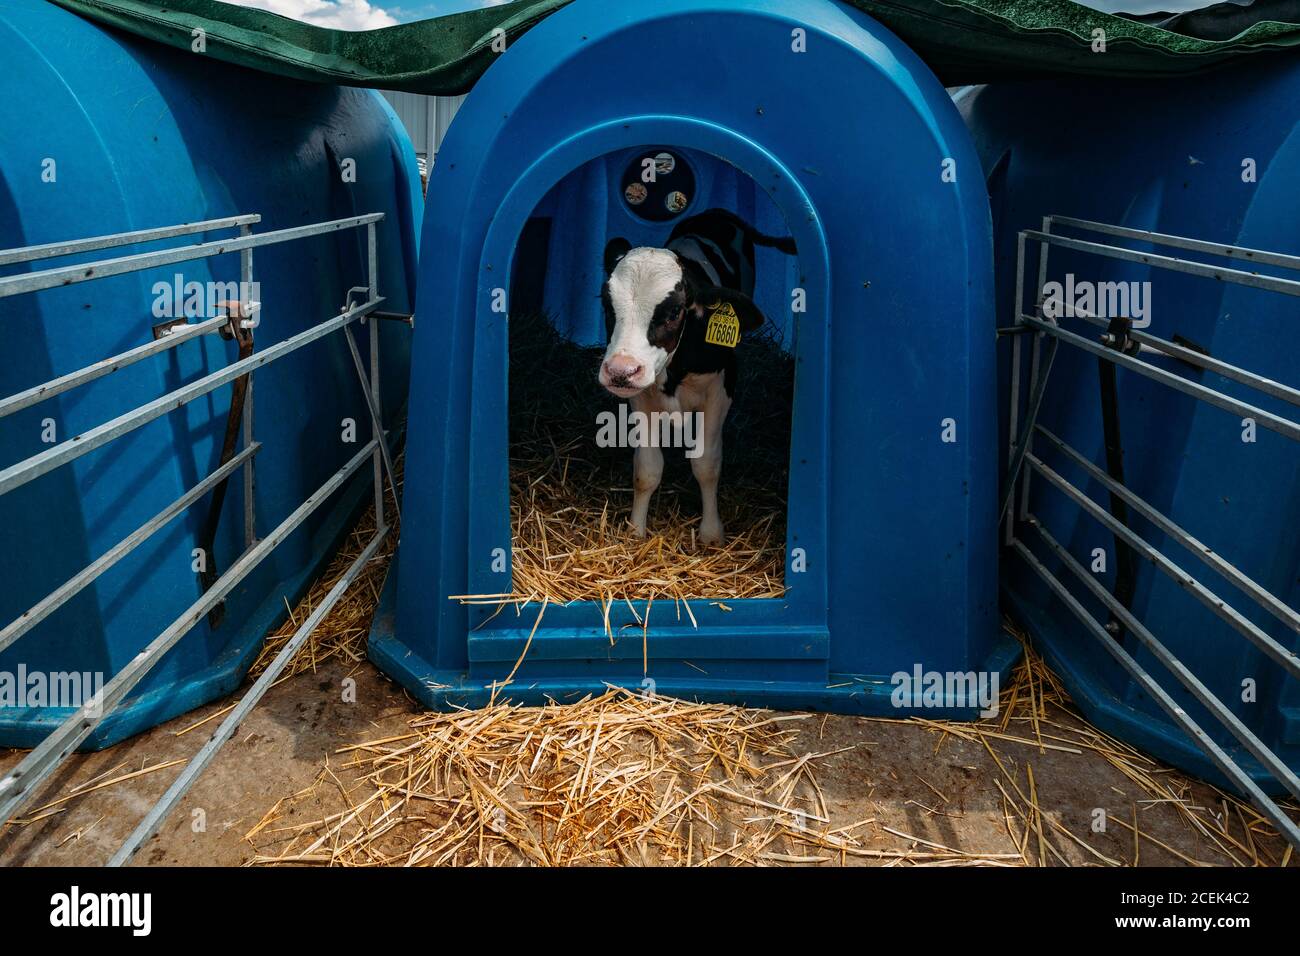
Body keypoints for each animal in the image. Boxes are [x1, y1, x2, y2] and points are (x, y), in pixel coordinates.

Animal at [595, 209, 790, 546]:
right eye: (607, 305)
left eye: (674, 312)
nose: (621, 371)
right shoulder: (641, 396)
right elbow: (647, 469)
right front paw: (635, 530)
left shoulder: (721, 389)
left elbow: (706, 464)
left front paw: (711, 533)